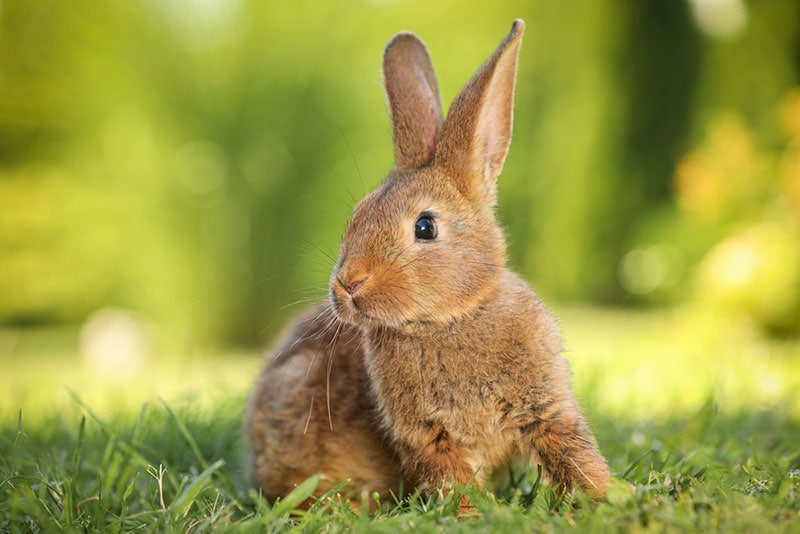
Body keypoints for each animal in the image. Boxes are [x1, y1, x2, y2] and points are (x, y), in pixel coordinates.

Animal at [246, 18, 610, 511]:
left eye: (425, 227)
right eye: (356, 216)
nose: (348, 285)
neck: (450, 319)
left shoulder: (545, 408)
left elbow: (572, 452)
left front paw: (608, 497)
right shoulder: (429, 437)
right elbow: (451, 479)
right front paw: (470, 515)